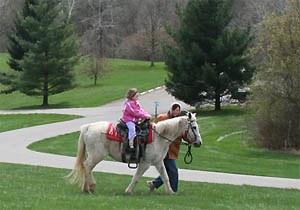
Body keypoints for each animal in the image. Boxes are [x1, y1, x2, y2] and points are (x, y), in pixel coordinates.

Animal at [67, 112, 203, 194]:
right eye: (194, 127)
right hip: (97, 155)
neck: (159, 137)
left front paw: (170, 192)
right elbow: (136, 177)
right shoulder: (145, 163)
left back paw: (86, 188)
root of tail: (88, 127)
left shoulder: (158, 162)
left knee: (86, 167)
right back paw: (90, 186)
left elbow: (165, 176)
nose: (199, 142)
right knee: (87, 166)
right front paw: (128, 191)